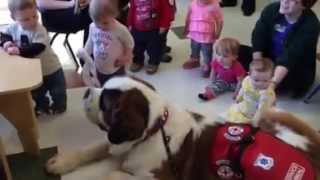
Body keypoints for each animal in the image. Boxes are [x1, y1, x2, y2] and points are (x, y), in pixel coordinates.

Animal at [45, 76, 320, 180]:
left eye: (104, 103)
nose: (86, 92)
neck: (155, 129)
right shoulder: (119, 141)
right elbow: (96, 147)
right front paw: (63, 161)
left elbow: (114, 174)